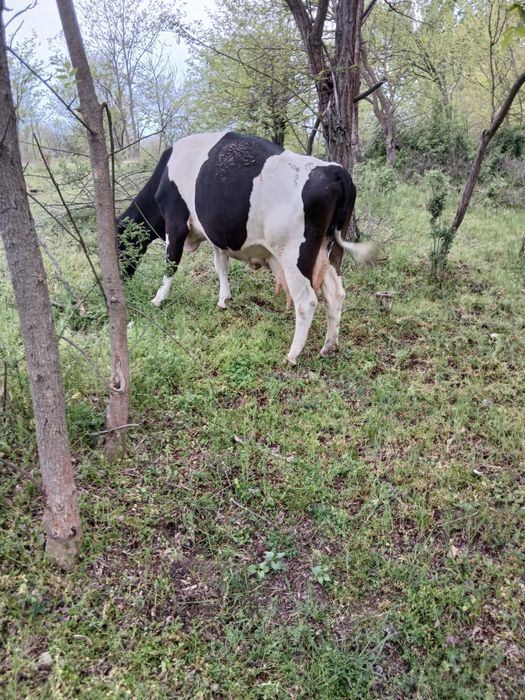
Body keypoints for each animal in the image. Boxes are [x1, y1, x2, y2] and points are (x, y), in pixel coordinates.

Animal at [117, 131, 376, 364]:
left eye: (120, 247)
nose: (121, 280)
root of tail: (334, 171)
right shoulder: (215, 235)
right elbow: (221, 266)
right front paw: (224, 299)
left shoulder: (175, 222)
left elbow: (171, 263)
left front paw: (158, 299)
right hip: (330, 249)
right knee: (335, 293)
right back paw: (329, 347)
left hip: (294, 254)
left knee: (306, 300)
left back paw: (292, 355)